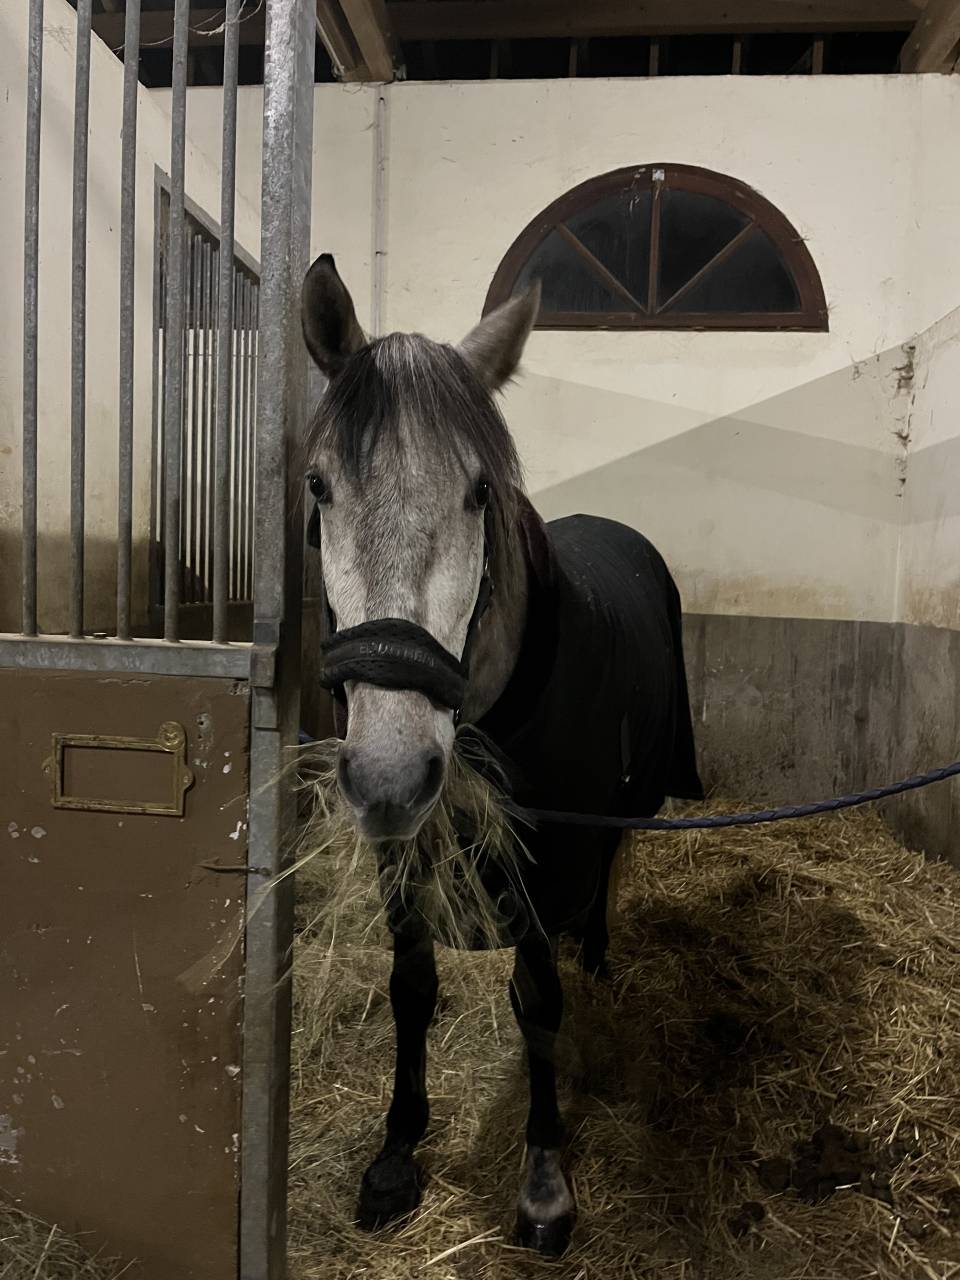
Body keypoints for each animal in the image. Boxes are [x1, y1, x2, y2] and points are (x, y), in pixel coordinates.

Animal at [299, 253, 703, 1257]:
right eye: (319, 488)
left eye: (478, 492)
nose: (392, 772)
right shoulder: (402, 856)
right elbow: (412, 983)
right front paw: (396, 1152)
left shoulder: (548, 862)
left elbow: (539, 1002)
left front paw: (545, 1180)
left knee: (607, 878)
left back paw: (600, 958)